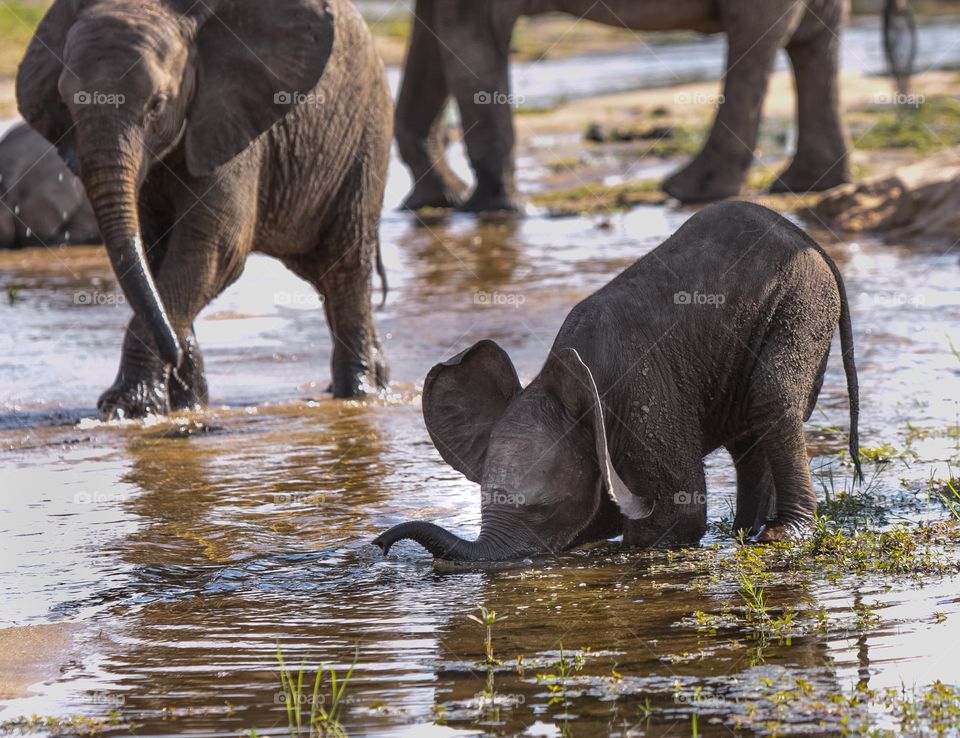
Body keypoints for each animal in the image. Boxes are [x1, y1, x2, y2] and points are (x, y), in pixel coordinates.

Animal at [17, 0, 392, 419]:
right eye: (66, 103)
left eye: (157, 105)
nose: (173, 355)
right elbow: (155, 258)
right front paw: (185, 404)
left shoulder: (231, 118)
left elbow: (212, 252)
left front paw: (129, 408)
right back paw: (377, 378)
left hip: (365, 136)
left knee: (344, 269)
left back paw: (358, 394)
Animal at [374, 202, 862, 565]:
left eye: (545, 509)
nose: (380, 546)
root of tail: (808, 240)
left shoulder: (642, 395)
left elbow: (678, 512)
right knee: (747, 435)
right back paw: (743, 533)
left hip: (801, 301)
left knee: (771, 399)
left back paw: (782, 535)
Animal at [395, 0, 882, 211]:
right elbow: (430, 37)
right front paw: (434, 201)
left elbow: (464, 30)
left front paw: (487, 209)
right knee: (815, 32)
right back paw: (806, 183)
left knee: (762, 28)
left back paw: (691, 190)